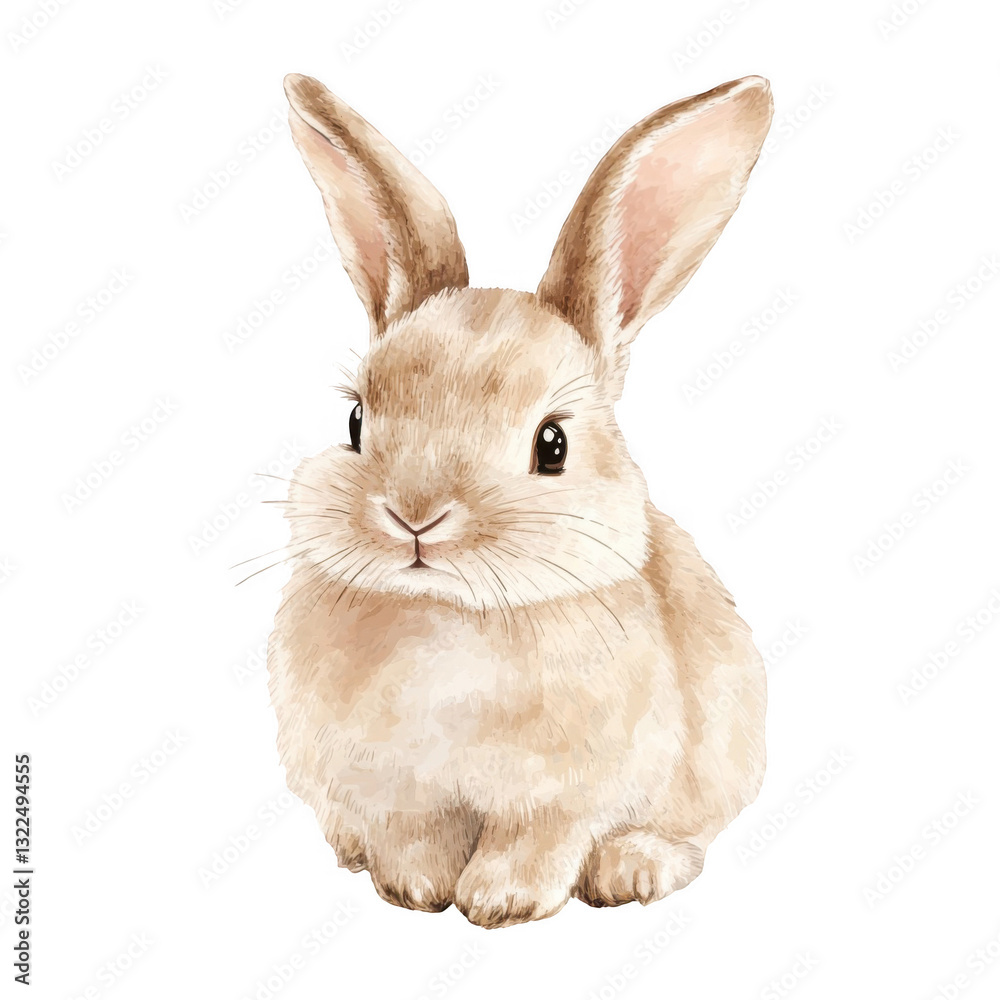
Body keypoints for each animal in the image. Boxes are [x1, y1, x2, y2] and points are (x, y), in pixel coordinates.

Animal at [267, 72, 773, 929]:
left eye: (553, 445)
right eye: (356, 421)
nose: (415, 515)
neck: (452, 618)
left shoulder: (567, 799)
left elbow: (538, 840)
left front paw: (500, 902)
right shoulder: (393, 794)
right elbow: (411, 837)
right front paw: (417, 890)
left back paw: (635, 869)